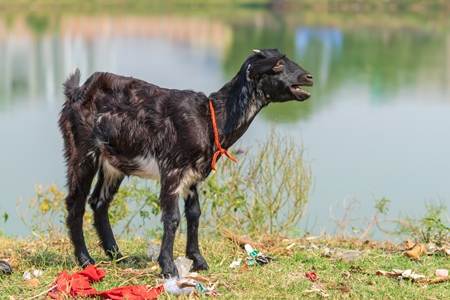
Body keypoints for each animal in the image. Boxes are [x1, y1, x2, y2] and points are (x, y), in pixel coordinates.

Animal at [59, 48, 312, 276]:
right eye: (277, 64)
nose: (308, 77)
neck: (211, 119)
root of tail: (75, 91)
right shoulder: (172, 168)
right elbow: (172, 218)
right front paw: (169, 268)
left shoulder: (193, 175)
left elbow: (194, 213)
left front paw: (198, 260)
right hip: (82, 150)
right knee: (75, 203)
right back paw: (86, 260)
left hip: (113, 163)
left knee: (99, 202)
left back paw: (117, 256)